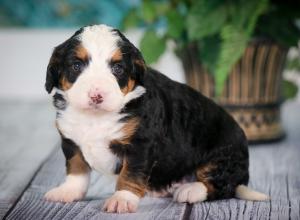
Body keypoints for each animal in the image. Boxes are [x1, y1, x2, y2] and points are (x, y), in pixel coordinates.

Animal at [43, 24, 268, 213]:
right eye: (76, 66)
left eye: (117, 68)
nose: (96, 95)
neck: (95, 117)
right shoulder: (71, 141)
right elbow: (77, 170)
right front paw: (68, 191)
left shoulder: (140, 144)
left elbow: (130, 174)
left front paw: (122, 199)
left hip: (223, 155)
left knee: (222, 186)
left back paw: (191, 189)